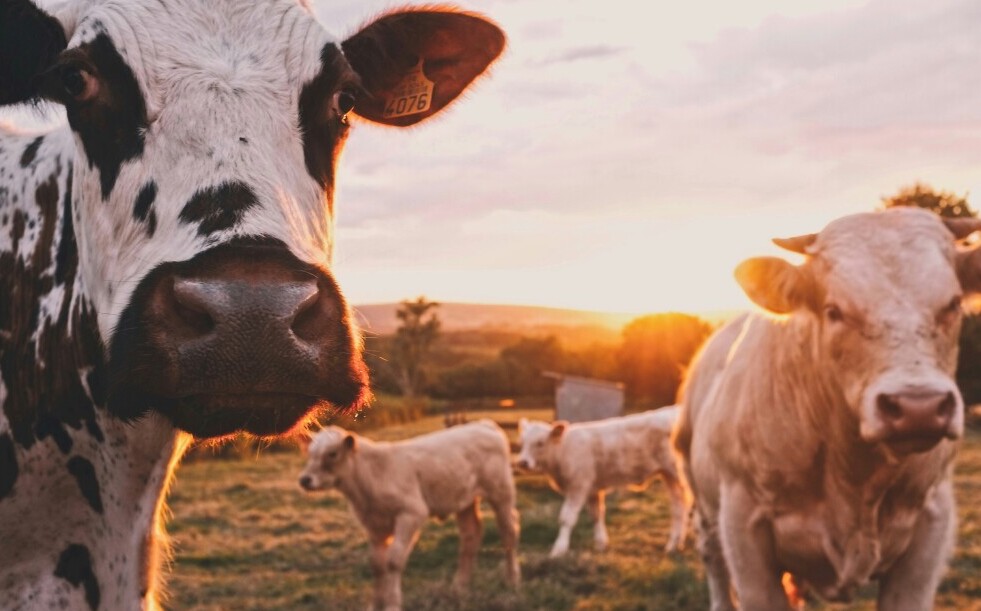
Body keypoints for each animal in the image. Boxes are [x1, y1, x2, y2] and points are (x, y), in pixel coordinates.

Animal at [296, 420, 520, 611]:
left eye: (332, 453)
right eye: (309, 453)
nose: (305, 480)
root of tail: (483, 424)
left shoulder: (411, 513)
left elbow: (393, 561)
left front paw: (393, 604)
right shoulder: (373, 525)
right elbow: (377, 565)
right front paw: (375, 605)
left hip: (501, 492)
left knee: (508, 532)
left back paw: (511, 580)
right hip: (464, 500)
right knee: (470, 537)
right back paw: (459, 586)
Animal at [512, 408, 688, 556]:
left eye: (540, 443)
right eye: (522, 443)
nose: (522, 462)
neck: (563, 451)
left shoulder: (578, 486)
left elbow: (566, 518)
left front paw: (559, 549)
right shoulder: (592, 488)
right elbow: (596, 515)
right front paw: (600, 543)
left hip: (678, 473)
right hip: (669, 476)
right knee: (679, 507)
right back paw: (674, 544)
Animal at [672, 207, 980, 611]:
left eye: (954, 304)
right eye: (834, 310)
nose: (919, 407)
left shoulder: (931, 525)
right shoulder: (743, 529)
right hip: (705, 508)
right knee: (715, 565)